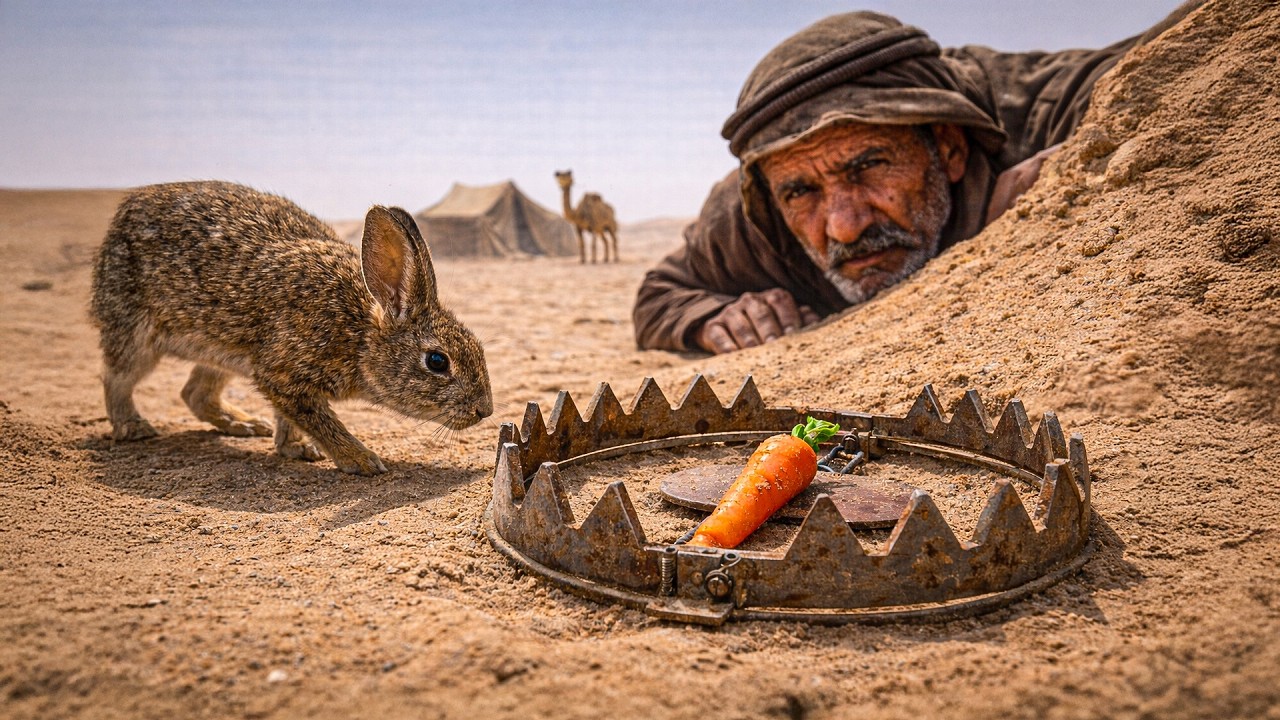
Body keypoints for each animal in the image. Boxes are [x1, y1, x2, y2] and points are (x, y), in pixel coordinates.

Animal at [89, 180, 493, 475]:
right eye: (437, 361)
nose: (484, 411)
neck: (360, 334)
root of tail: (124, 212)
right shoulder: (281, 372)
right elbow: (319, 418)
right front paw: (361, 460)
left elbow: (290, 419)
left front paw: (295, 448)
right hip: (136, 331)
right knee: (116, 377)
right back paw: (133, 427)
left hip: (225, 351)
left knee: (194, 393)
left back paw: (241, 425)